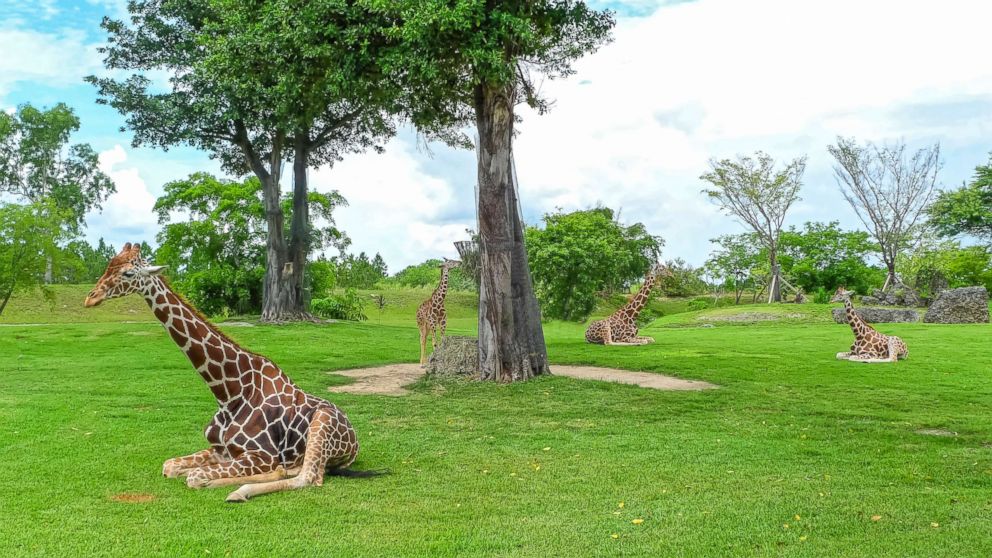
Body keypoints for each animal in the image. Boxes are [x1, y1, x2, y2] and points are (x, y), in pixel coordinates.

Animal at [79, 244, 376, 504]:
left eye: (128, 273)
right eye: (108, 266)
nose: (90, 297)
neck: (228, 391)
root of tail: (355, 440)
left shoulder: (259, 455)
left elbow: (194, 477)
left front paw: (207, 479)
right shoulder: (221, 450)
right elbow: (170, 466)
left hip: (320, 426)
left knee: (309, 477)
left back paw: (238, 491)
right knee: (296, 471)